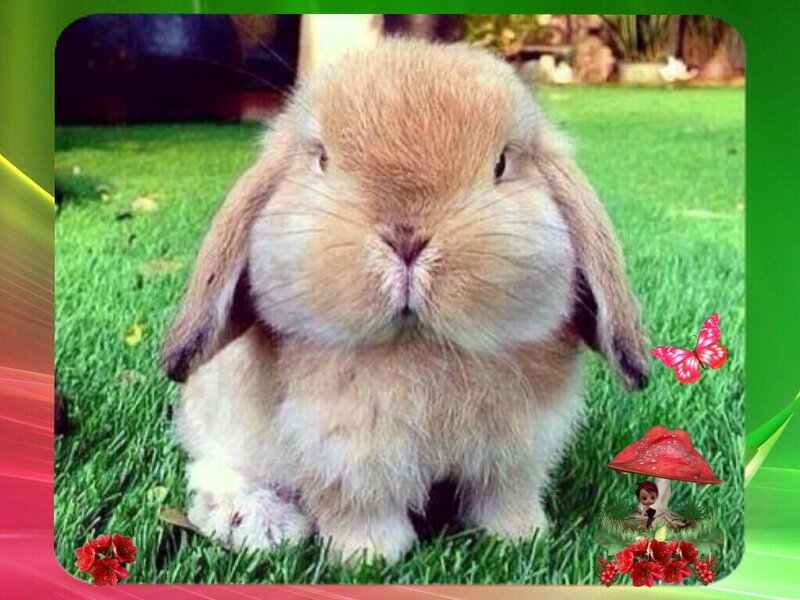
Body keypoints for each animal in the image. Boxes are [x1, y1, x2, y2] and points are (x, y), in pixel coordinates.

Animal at [162, 38, 648, 563]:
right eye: (322, 160)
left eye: (501, 165)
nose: (407, 239)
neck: (421, 346)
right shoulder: (342, 452)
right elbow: (360, 506)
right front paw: (369, 556)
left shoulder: (517, 452)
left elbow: (504, 496)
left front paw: (520, 538)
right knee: (213, 468)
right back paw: (259, 524)